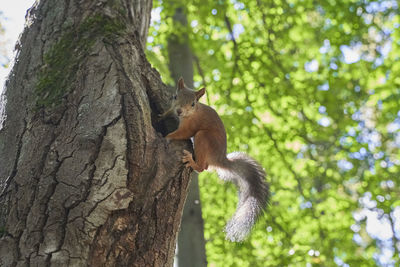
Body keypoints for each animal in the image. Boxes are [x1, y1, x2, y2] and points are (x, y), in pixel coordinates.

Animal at [161, 77, 270, 243]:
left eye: (193, 104)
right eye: (175, 97)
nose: (179, 111)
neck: (189, 114)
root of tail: (219, 158)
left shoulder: (190, 127)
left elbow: (181, 133)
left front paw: (167, 137)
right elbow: (168, 112)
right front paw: (162, 114)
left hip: (203, 137)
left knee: (202, 167)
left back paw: (191, 161)